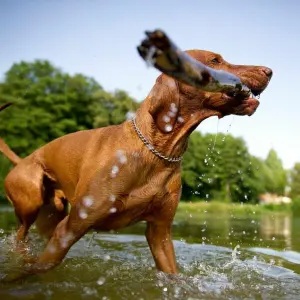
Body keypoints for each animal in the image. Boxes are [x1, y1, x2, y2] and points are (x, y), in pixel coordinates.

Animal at [0, 48, 272, 278]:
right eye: (215, 60)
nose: (269, 70)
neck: (157, 151)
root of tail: (23, 160)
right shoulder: (69, 229)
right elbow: (39, 268)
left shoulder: (160, 233)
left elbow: (173, 275)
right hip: (30, 205)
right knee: (20, 236)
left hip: (51, 214)